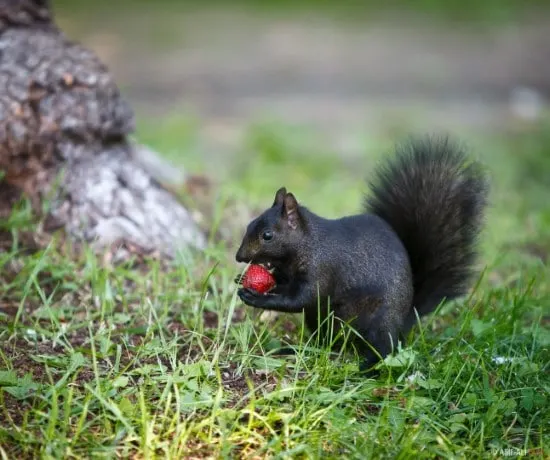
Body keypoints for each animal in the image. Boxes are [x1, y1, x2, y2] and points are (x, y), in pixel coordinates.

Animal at [235, 135, 490, 372]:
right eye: (249, 224)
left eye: (267, 235)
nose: (239, 257)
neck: (306, 245)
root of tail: (405, 320)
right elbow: (284, 286)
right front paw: (244, 279)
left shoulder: (322, 269)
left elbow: (300, 298)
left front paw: (254, 297)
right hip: (320, 321)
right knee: (326, 343)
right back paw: (298, 350)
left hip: (379, 324)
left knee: (384, 349)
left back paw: (368, 367)